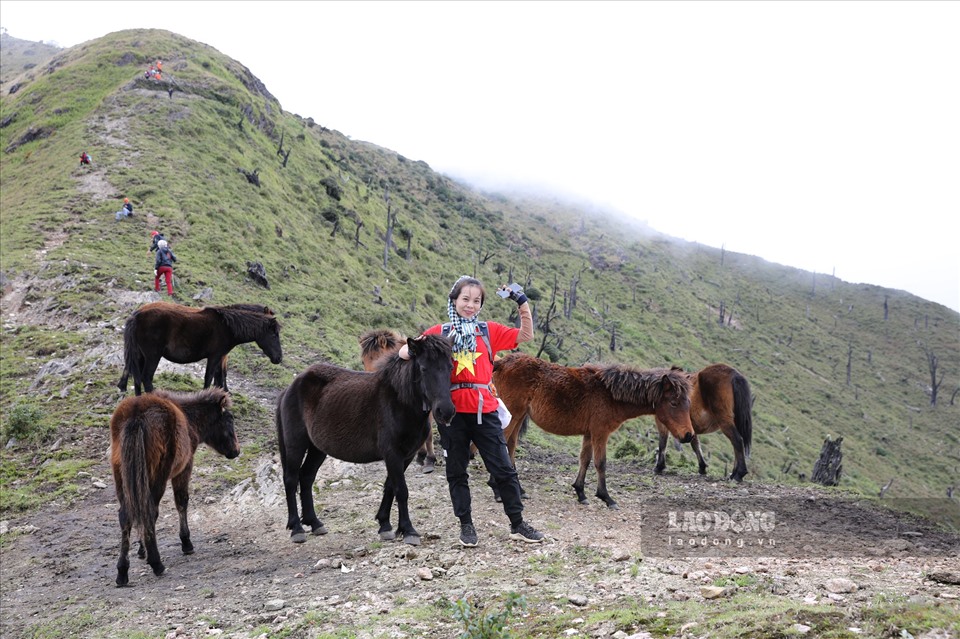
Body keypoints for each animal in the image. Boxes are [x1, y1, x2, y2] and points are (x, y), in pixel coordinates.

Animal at [109, 388, 239, 588]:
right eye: (229, 419)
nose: (236, 451)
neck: (188, 418)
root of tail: (136, 415)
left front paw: (141, 550)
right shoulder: (185, 467)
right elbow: (181, 502)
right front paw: (186, 542)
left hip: (122, 477)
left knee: (127, 515)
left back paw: (122, 572)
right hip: (158, 475)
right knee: (150, 512)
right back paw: (157, 563)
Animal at [116, 302, 282, 398]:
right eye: (274, 334)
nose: (279, 358)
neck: (226, 326)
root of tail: (137, 315)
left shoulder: (220, 357)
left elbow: (219, 377)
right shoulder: (215, 356)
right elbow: (210, 378)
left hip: (140, 355)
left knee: (137, 378)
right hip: (152, 356)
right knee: (146, 378)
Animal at [492, 350, 692, 510]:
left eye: (688, 403)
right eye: (673, 403)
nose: (688, 435)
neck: (609, 393)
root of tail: (501, 362)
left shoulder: (589, 434)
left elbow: (585, 460)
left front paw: (580, 493)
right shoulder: (600, 433)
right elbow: (600, 463)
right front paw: (607, 498)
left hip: (518, 417)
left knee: (510, 446)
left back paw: (518, 490)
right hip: (513, 416)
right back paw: (498, 490)